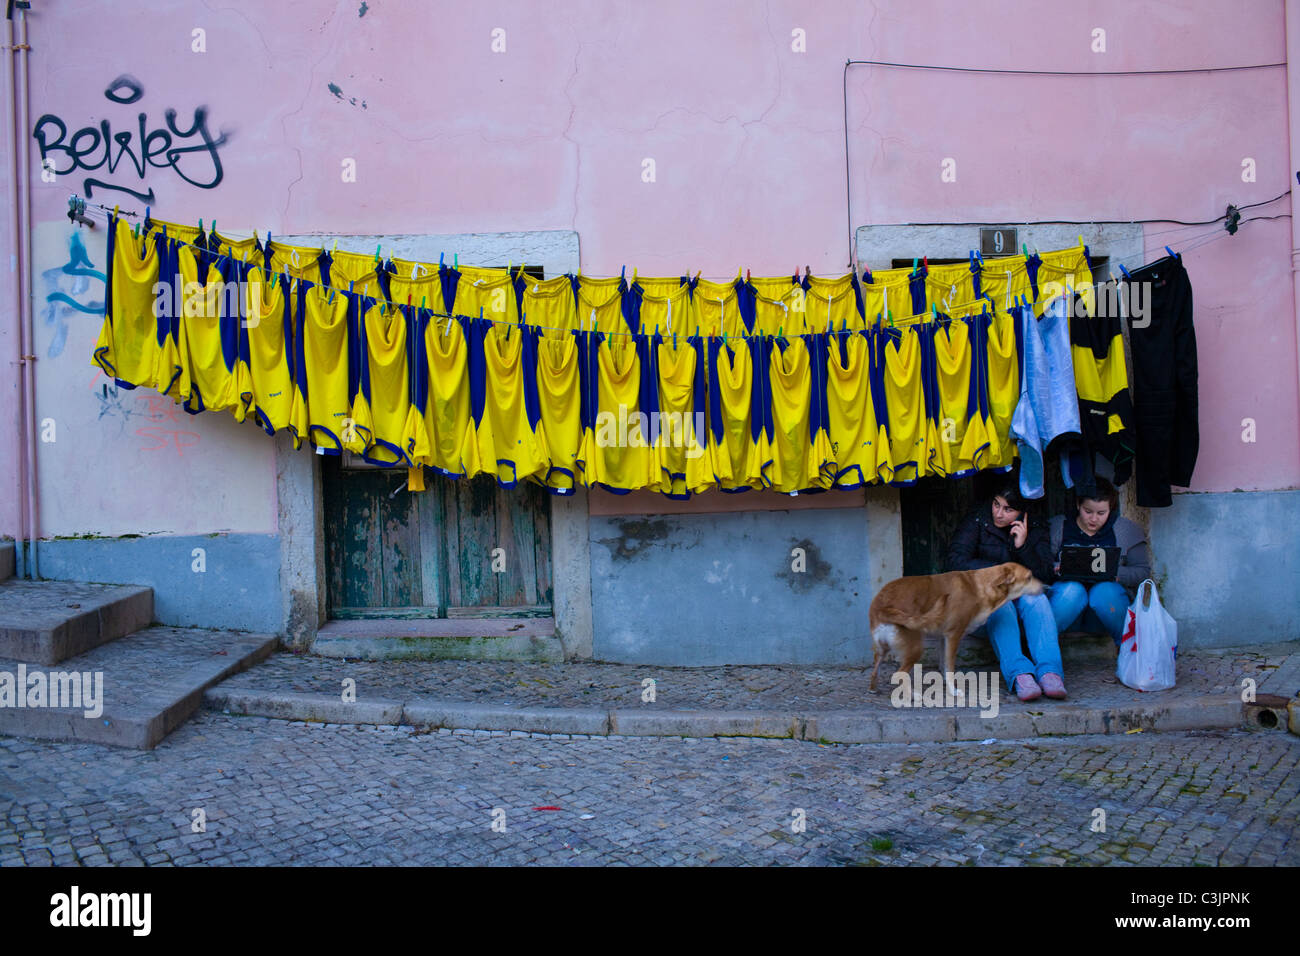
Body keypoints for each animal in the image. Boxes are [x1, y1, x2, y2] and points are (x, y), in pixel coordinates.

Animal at [873, 561, 1045, 697]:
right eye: (1029, 577)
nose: (1046, 587)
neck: (979, 588)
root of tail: (882, 607)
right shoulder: (953, 635)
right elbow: (950, 667)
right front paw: (953, 690)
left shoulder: (943, 638)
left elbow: (944, 665)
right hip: (914, 647)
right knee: (899, 674)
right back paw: (913, 695)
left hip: (881, 649)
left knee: (875, 669)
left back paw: (873, 688)